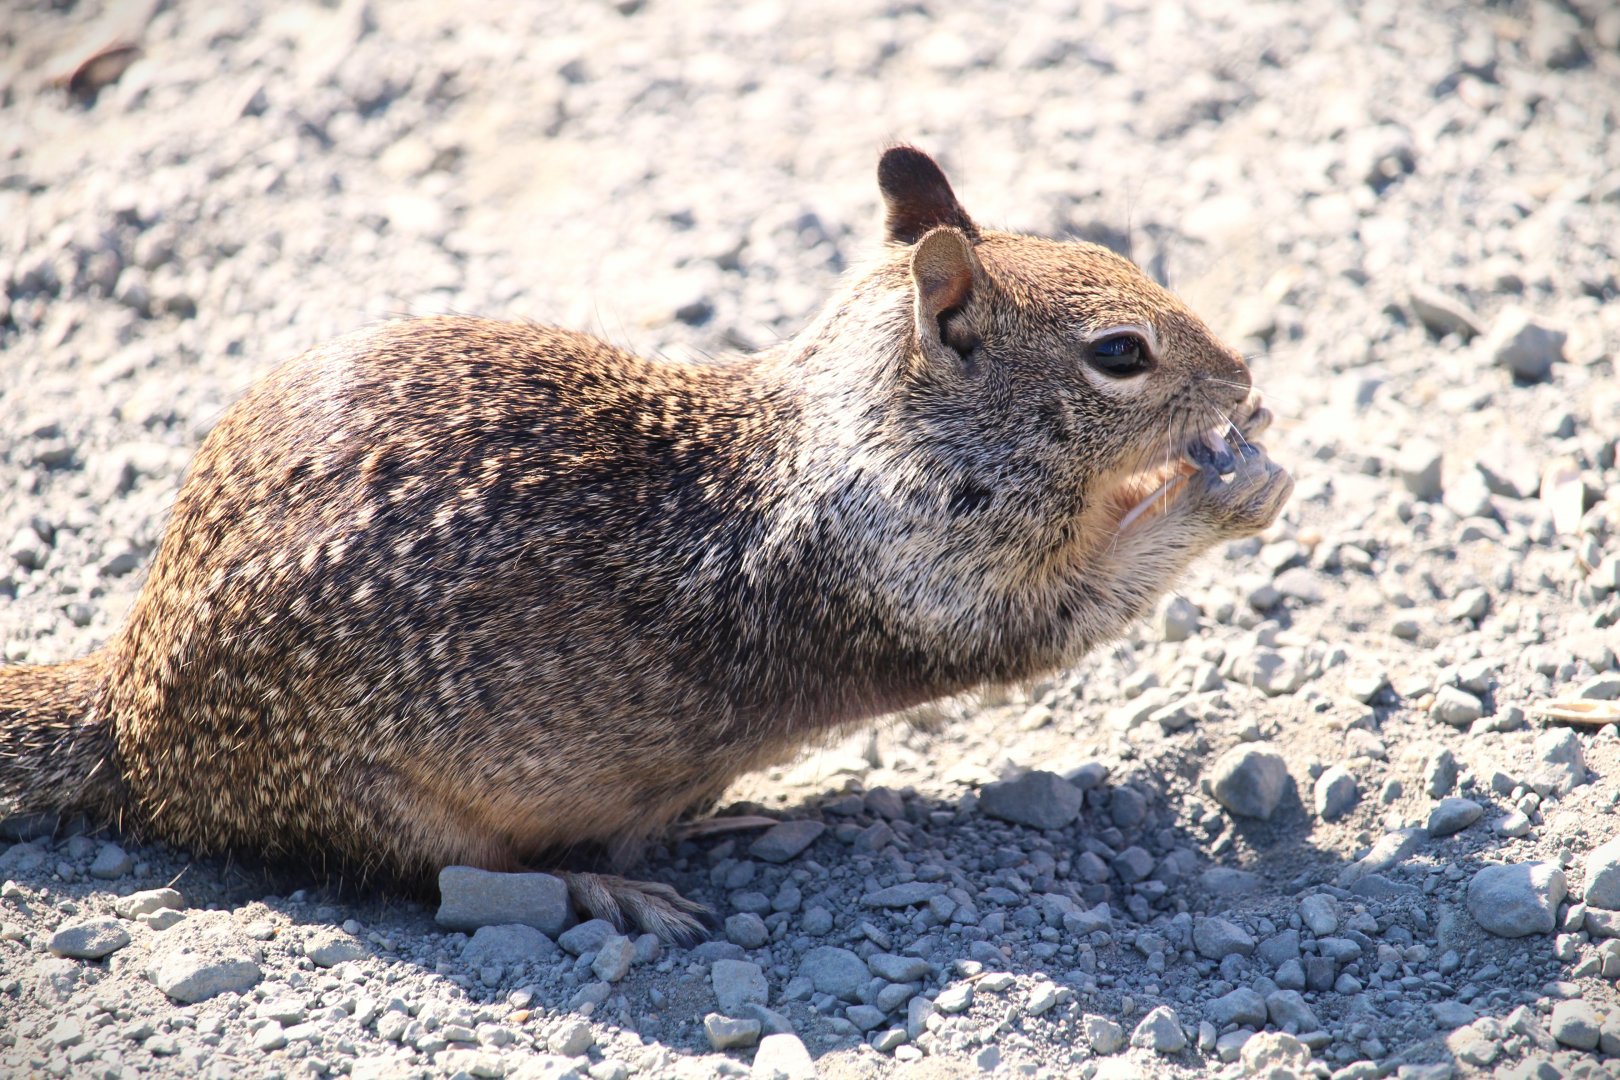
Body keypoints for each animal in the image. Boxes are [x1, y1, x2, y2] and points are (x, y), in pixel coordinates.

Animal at [0, 147, 1291, 941]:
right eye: (1120, 354)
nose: (1245, 377)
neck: (874, 430)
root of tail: (129, 706)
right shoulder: (940, 584)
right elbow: (1078, 607)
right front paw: (1221, 486)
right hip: (384, 806)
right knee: (446, 879)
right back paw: (615, 883)